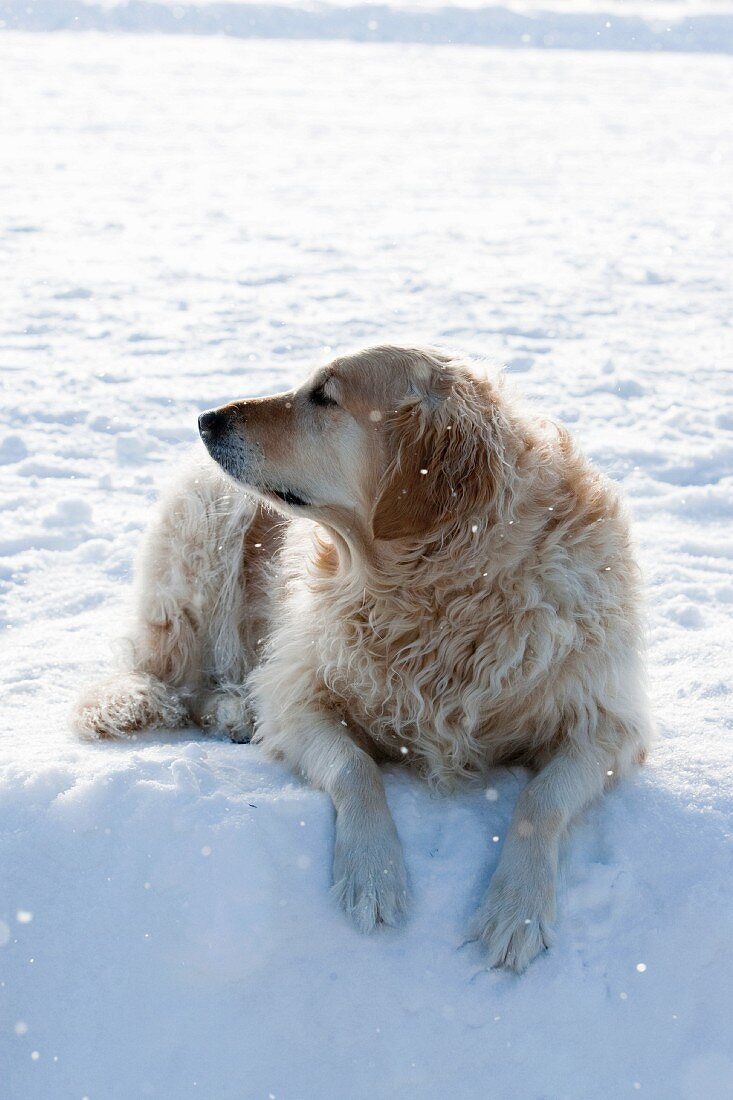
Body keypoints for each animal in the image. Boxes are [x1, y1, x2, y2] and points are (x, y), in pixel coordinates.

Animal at [71, 343, 647, 972]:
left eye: (324, 396)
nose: (205, 419)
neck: (440, 588)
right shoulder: (297, 693)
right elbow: (355, 767)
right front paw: (374, 875)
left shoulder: (606, 725)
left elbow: (541, 801)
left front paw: (515, 908)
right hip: (208, 532)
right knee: (175, 676)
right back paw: (230, 709)